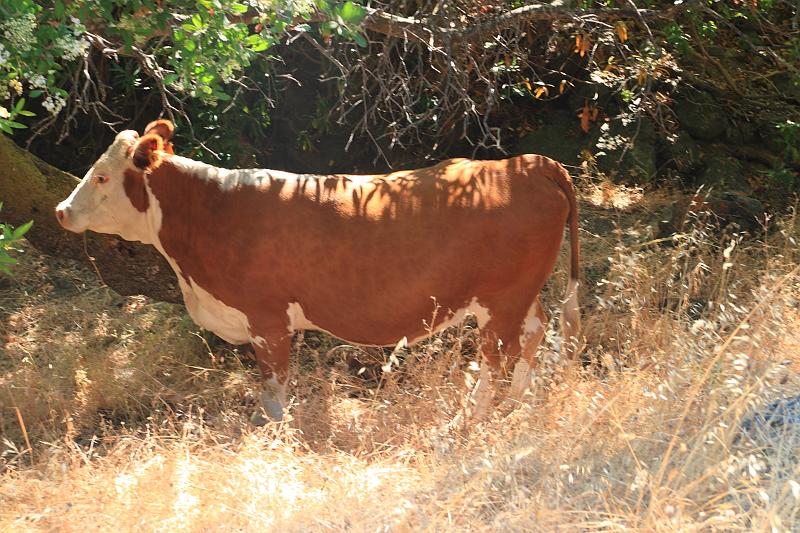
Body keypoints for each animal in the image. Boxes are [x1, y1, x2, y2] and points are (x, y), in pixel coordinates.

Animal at [56, 120, 581, 423]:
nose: (62, 211)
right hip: (521, 297)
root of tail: (525, 164)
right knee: (533, 335)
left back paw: (467, 420)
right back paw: (514, 407)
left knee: (495, 359)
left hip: (500, 302)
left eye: (101, 176)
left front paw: (273, 432)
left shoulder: (266, 320)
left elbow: (273, 389)